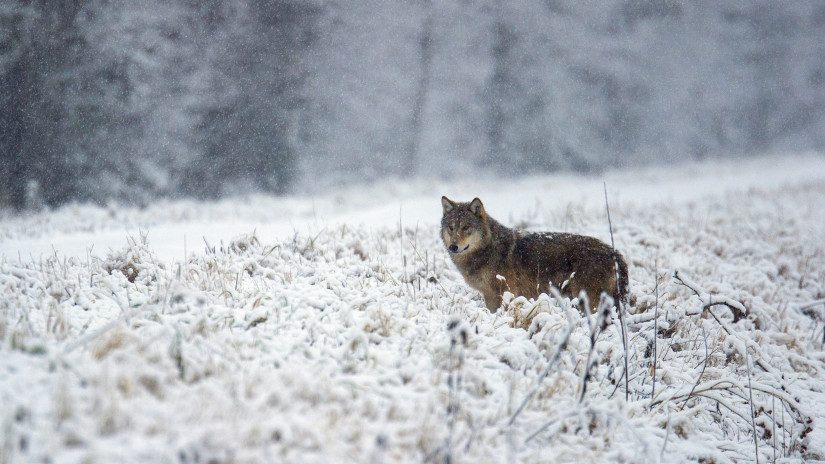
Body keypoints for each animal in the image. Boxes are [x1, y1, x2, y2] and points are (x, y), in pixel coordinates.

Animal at [440, 196, 628, 312]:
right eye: (451, 227)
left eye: (466, 227)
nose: (453, 247)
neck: (488, 248)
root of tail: (614, 252)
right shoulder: (489, 296)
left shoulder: (505, 293)